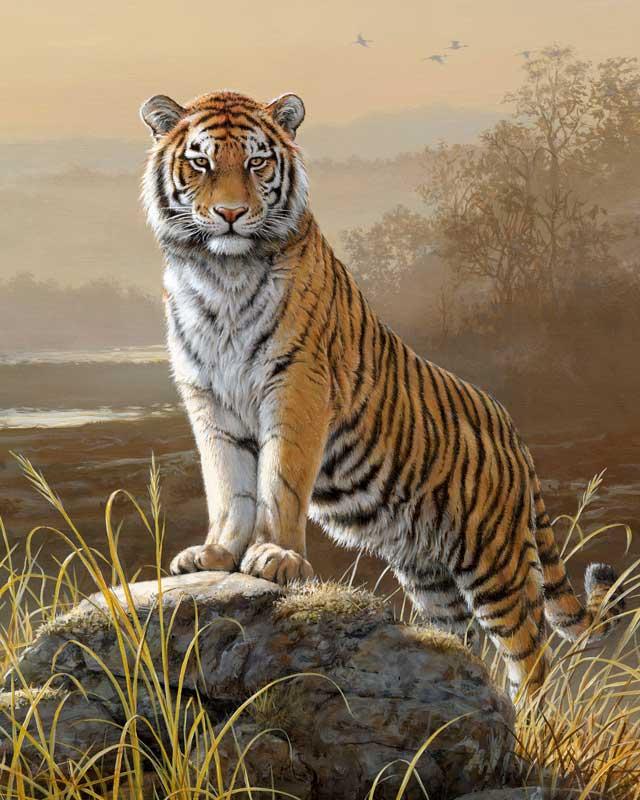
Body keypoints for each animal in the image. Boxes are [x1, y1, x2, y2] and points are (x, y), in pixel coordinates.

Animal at [140, 88, 624, 697]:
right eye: (201, 162)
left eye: (256, 162)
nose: (229, 213)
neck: (221, 274)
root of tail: (512, 428)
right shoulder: (208, 397)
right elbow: (228, 484)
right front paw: (216, 554)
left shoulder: (297, 383)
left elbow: (279, 480)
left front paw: (275, 556)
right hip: (429, 572)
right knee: (458, 639)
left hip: (495, 563)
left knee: (530, 654)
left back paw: (527, 714)